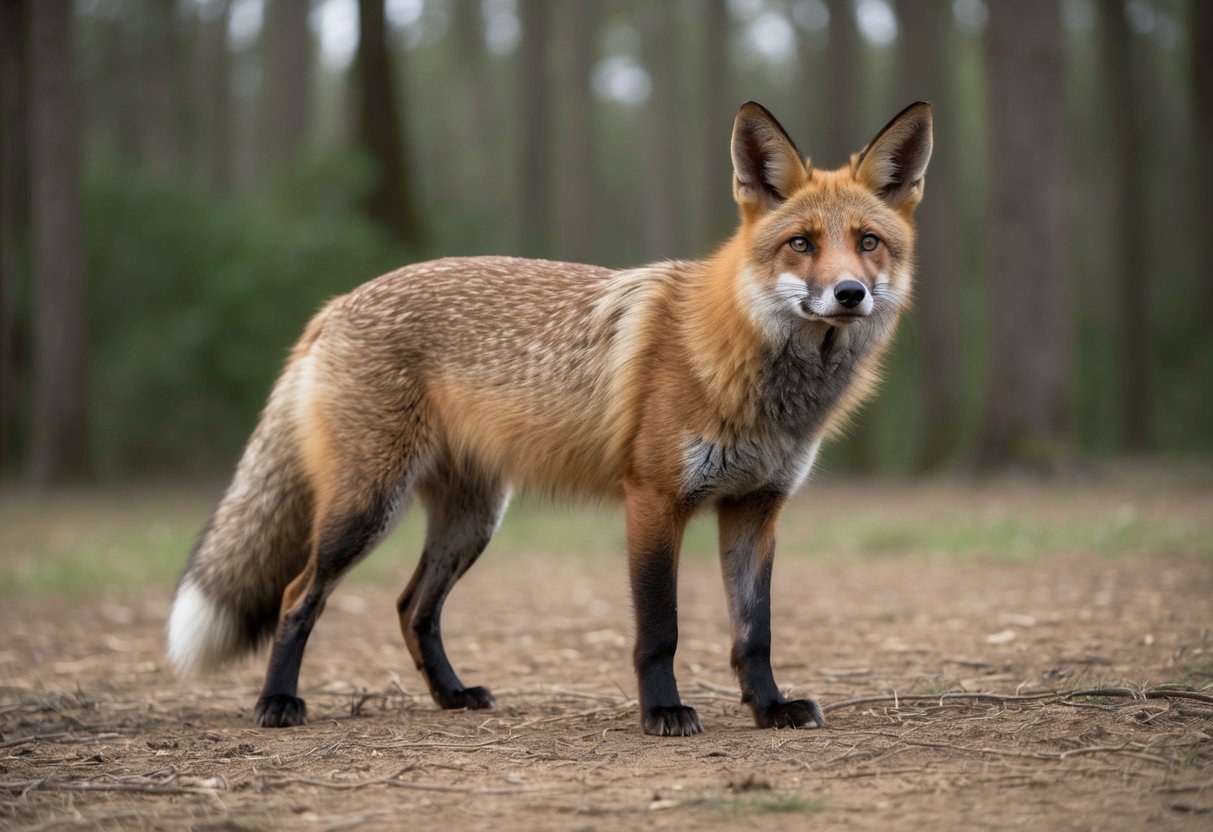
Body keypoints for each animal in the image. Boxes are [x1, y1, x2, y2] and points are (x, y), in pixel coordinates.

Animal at [167, 101, 932, 736]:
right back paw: (276, 701)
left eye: (867, 242)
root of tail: (338, 302)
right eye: (801, 244)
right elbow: (660, 630)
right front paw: (662, 713)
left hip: (472, 521)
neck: (747, 366)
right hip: (365, 508)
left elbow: (755, 633)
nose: (850, 293)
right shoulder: (653, 499)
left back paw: (451, 696)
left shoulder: (755, 508)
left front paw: (770, 709)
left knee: (413, 607)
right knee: (299, 596)